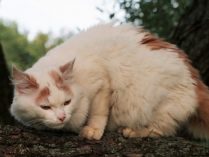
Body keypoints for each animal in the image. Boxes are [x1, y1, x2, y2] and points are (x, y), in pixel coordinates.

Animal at [9, 23, 209, 140]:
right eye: (45, 107)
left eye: (67, 102)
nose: (62, 117)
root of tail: (194, 76)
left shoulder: (102, 83)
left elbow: (98, 112)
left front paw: (92, 130)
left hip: (159, 105)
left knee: (159, 131)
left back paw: (131, 132)